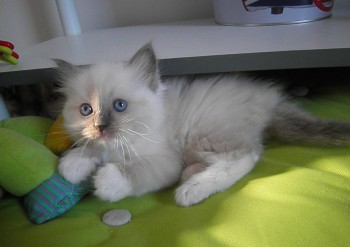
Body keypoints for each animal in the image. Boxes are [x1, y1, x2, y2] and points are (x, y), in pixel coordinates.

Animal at [56, 44, 350, 206]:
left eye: (119, 106)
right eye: (86, 110)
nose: (100, 127)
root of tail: (269, 98)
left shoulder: (164, 161)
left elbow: (134, 170)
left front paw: (108, 182)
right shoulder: (99, 144)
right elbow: (89, 149)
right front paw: (72, 166)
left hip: (201, 133)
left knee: (245, 156)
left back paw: (191, 189)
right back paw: (191, 174)